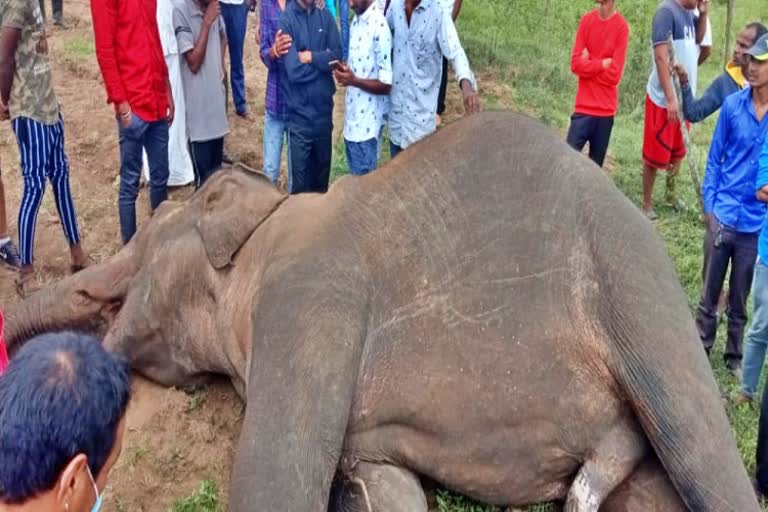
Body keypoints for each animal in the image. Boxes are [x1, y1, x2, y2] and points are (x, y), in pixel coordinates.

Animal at [3, 113, 760, 512]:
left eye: (144, 242)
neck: (269, 216)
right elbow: (386, 489)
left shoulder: (311, 293)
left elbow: (276, 486)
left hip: (633, 282)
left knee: (700, 449)